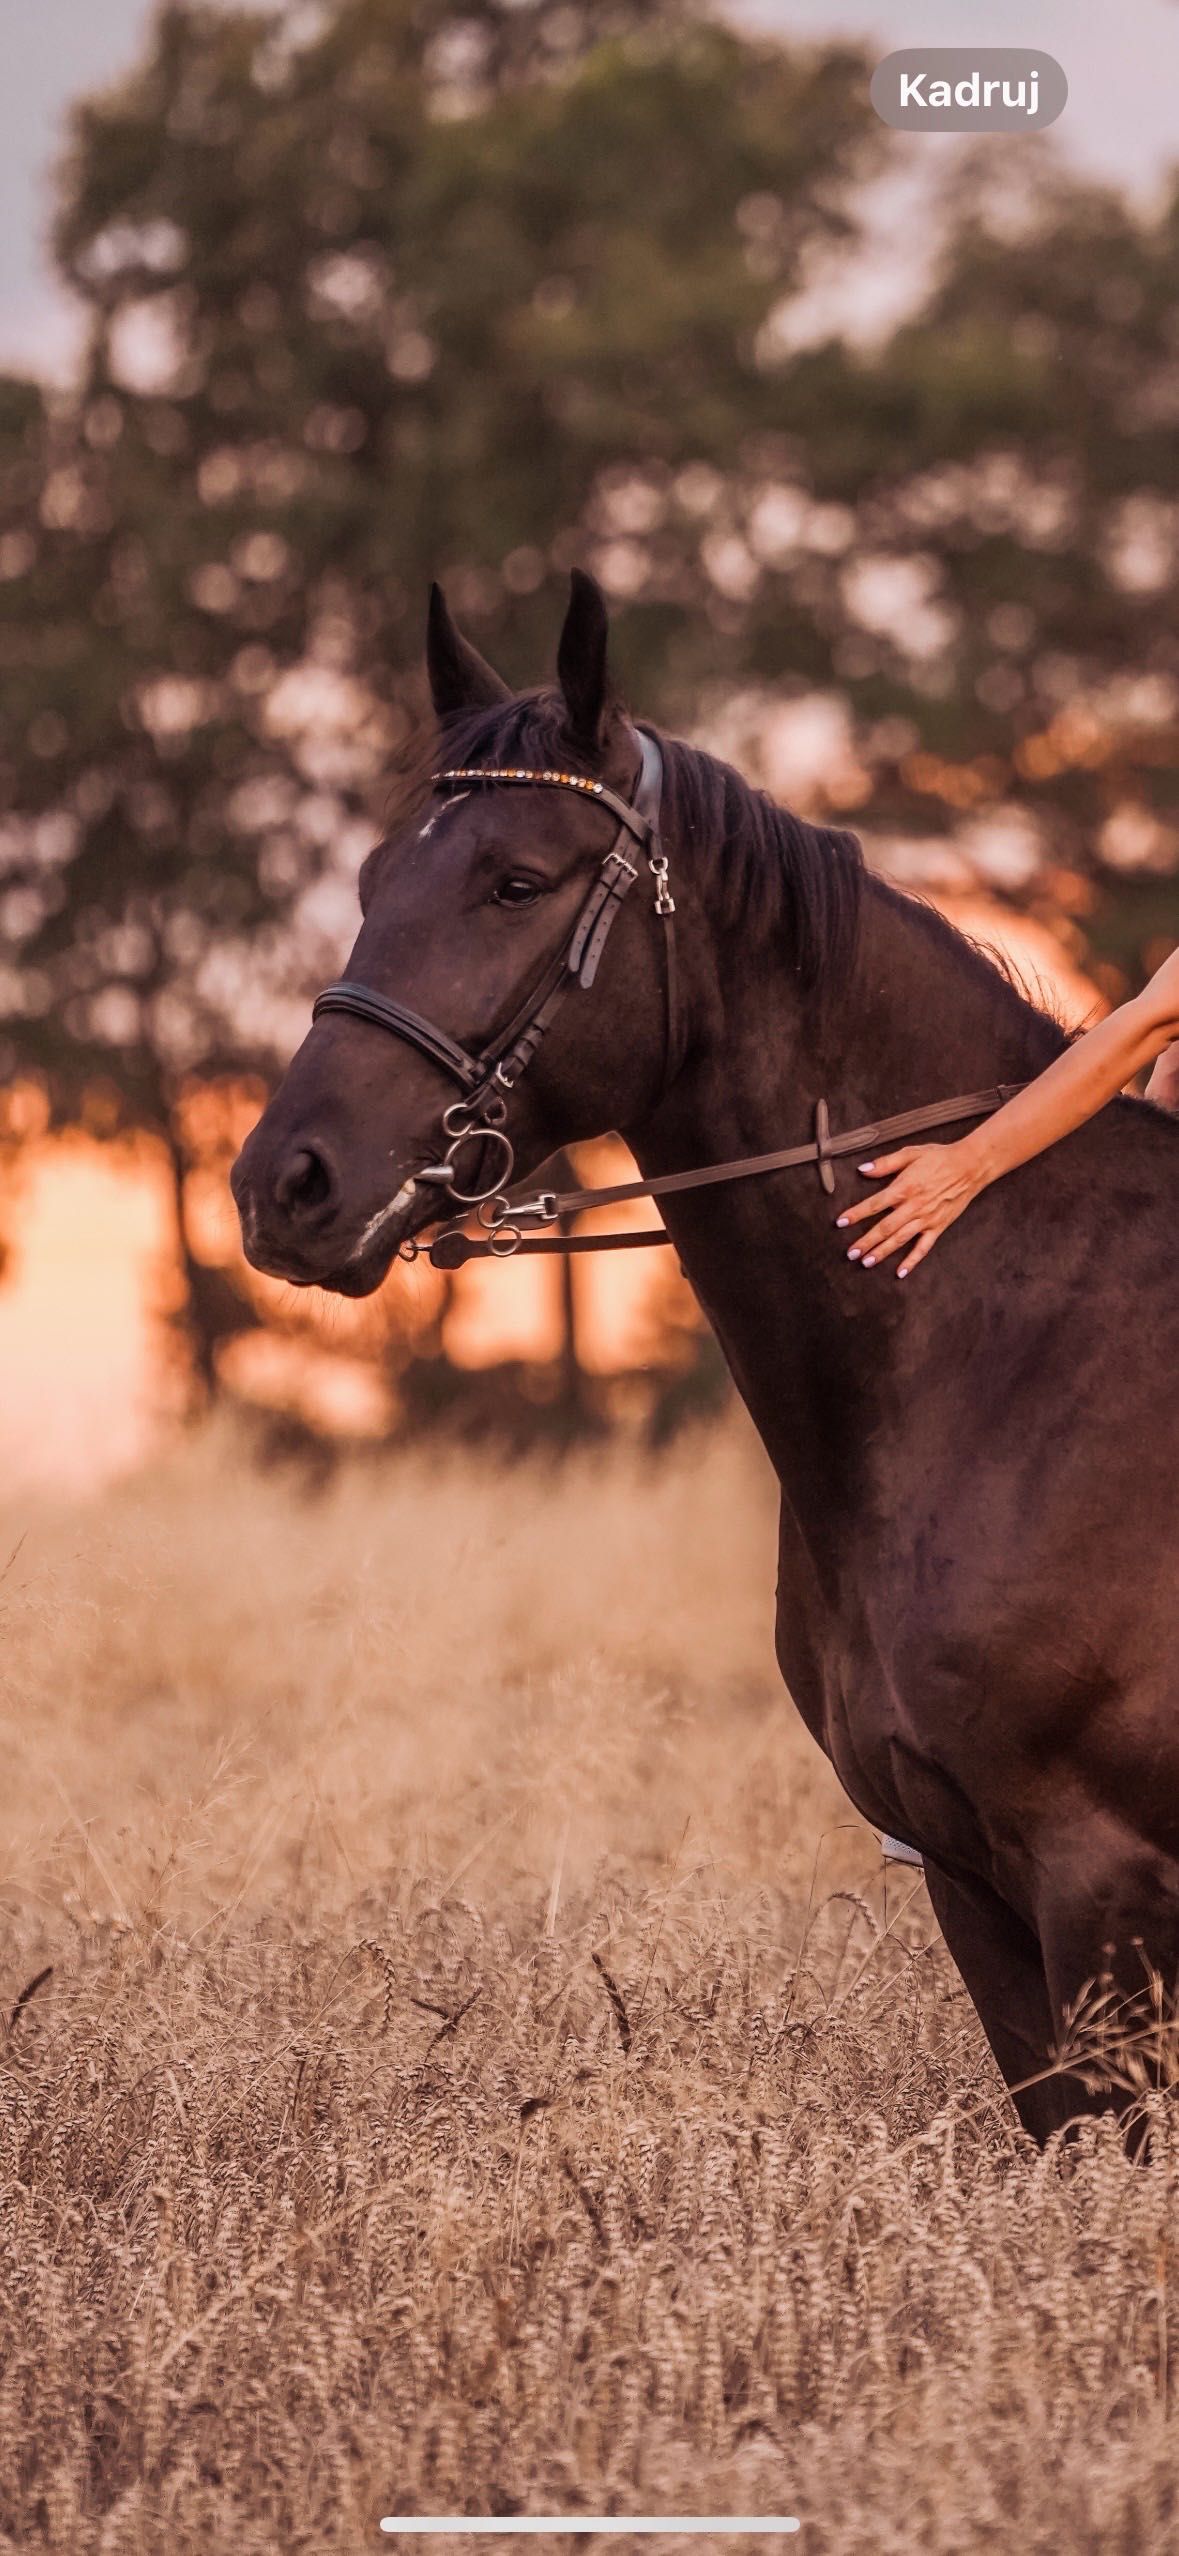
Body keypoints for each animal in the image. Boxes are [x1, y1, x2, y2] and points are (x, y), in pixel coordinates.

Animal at [231, 575, 1179, 2136]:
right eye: (370, 880)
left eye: (515, 881)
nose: (283, 1187)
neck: (998, 1365)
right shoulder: (976, 1890)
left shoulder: (1102, 1887)